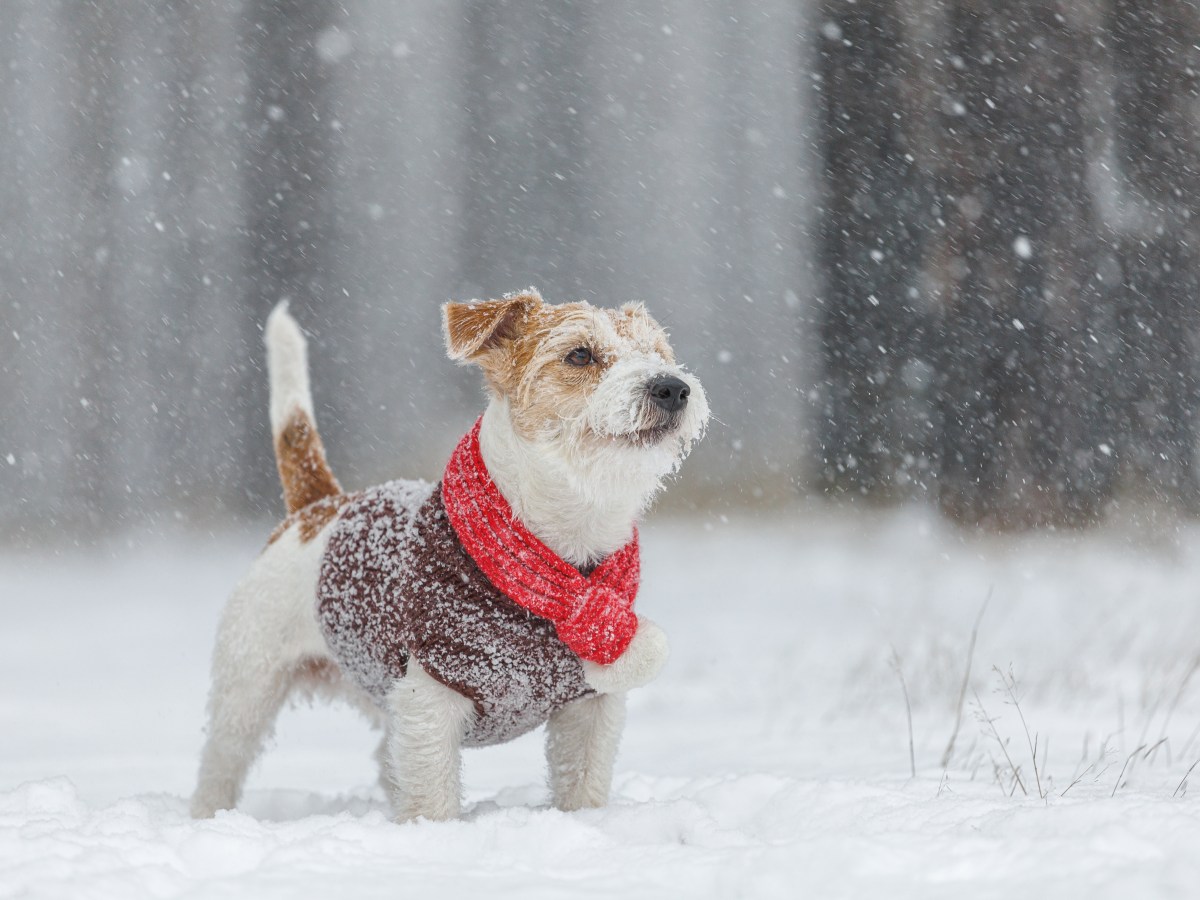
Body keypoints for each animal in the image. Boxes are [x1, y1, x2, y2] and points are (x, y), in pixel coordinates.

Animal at [190, 290, 705, 825]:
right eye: (580, 354)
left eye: (658, 352)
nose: (672, 387)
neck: (559, 555)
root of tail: (319, 506)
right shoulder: (431, 696)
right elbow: (432, 796)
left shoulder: (591, 705)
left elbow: (582, 783)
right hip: (249, 683)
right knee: (221, 764)